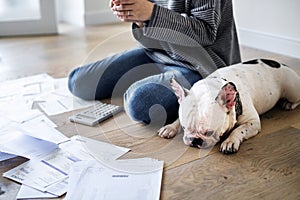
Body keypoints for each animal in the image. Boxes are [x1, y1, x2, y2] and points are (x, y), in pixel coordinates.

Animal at [157, 58, 300, 154]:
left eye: (209, 132)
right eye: (184, 128)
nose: (194, 140)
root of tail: (283, 65)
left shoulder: (252, 122)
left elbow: (239, 130)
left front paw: (230, 141)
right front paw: (170, 127)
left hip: (292, 90)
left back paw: (288, 104)